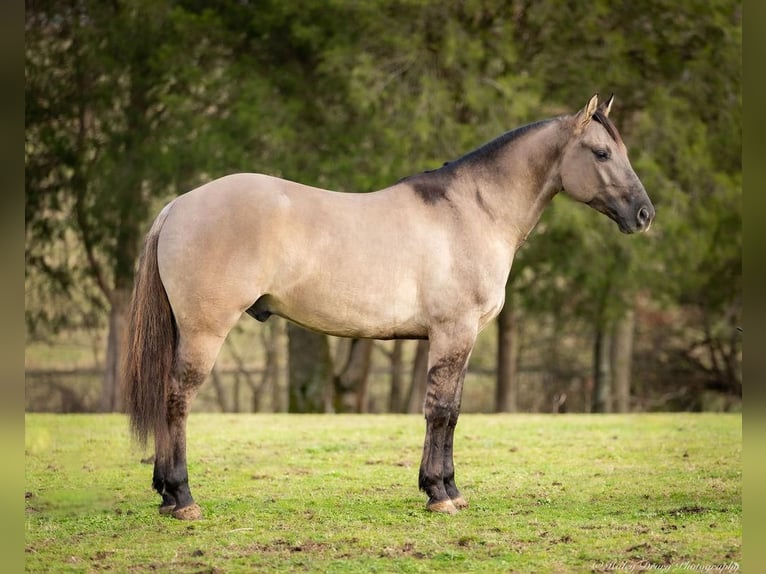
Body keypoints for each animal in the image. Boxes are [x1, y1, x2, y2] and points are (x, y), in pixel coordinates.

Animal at [120, 95, 656, 520]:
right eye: (602, 152)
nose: (644, 214)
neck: (472, 211)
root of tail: (178, 205)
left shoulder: (458, 339)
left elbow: (452, 411)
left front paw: (450, 489)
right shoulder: (453, 332)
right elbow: (440, 411)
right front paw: (439, 493)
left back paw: (165, 495)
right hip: (205, 332)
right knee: (177, 400)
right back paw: (182, 498)